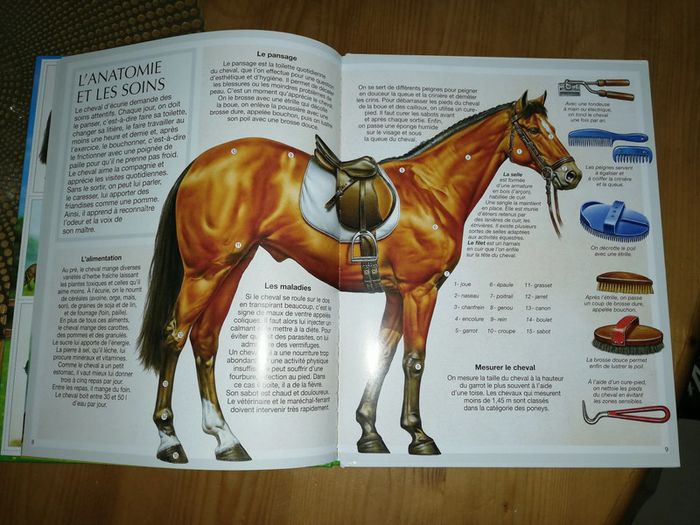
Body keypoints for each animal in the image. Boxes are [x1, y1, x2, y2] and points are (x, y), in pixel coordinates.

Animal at [138, 91, 582, 463]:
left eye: (554, 129)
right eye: (536, 131)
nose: (572, 175)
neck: (434, 191)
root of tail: (198, 164)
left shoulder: (396, 294)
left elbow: (382, 353)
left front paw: (369, 433)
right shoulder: (421, 291)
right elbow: (414, 361)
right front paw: (419, 436)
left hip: (232, 268)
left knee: (205, 341)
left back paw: (226, 440)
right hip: (204, 273)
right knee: (175, 336)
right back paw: (169, 440)